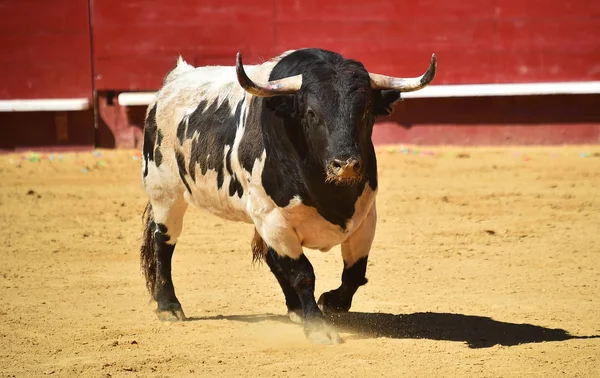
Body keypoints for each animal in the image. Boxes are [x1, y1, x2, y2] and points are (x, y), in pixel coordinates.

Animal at [140, 46, 436, 342]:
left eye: (365, 111)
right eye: (311, 112)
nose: (346, 164)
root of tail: (172, 81)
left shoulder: (365, 217)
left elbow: (354, 272)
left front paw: (331, 302)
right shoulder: (274, 219)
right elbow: (303, 274)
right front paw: (318, 326)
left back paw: (295, 308)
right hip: (165, 192)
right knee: (163, 242)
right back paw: (169, 306)